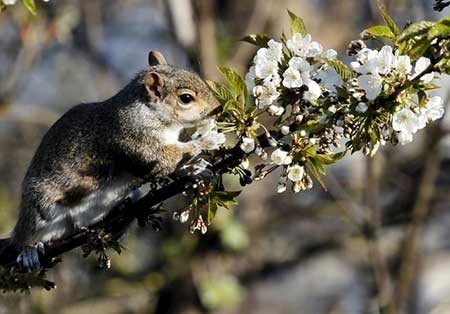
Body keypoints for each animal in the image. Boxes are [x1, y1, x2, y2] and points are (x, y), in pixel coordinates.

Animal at [0, 50, 220, 272]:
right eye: (186, 98)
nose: (218, 108)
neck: (148, 111)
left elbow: (173, 166)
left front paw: (197, 170)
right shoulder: (134, 138)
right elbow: (166, 159)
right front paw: (207, 141)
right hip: (39, 209)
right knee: (25, 236)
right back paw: (29, 251)